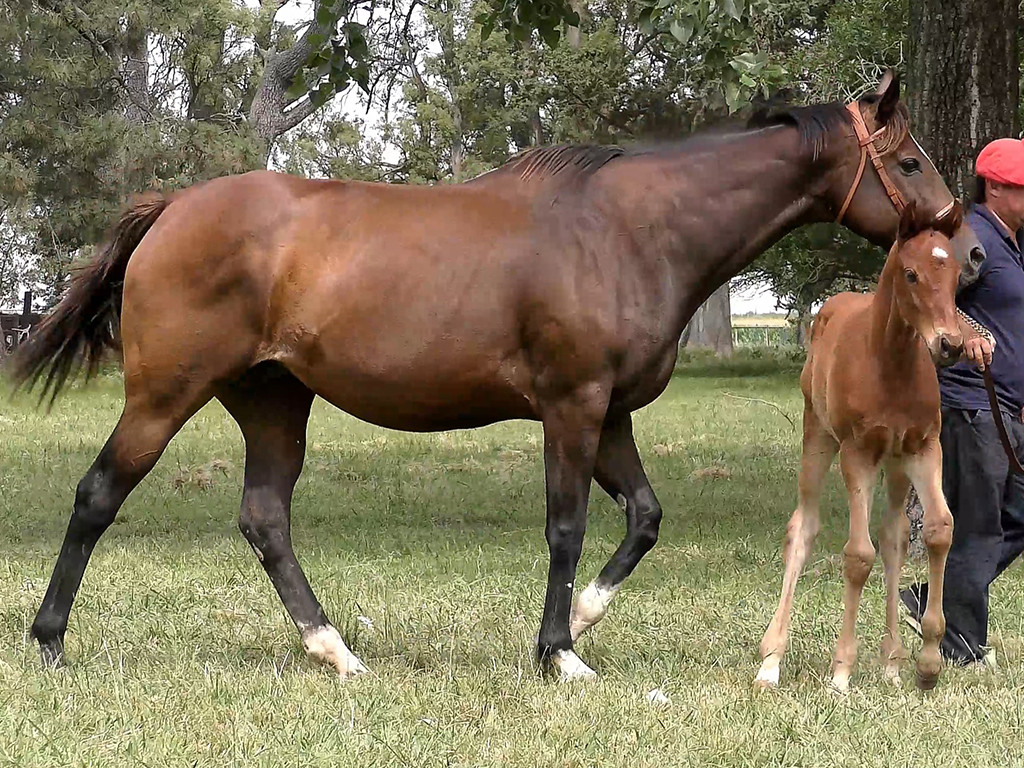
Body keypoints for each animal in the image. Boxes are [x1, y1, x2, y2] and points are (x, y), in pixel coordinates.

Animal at [756, 200, 965, 693]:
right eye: (911, 273)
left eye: (957, 271)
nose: (950, 344)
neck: (891, 362)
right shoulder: (858, 453)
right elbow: (857, 555)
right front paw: (841, 671)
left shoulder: (924, 449)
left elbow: (938, 530)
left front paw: (928, 662)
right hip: (818, 436)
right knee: (803, 528)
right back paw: (771, 660)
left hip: (896, 466)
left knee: (894, 537)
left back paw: (892, 661)